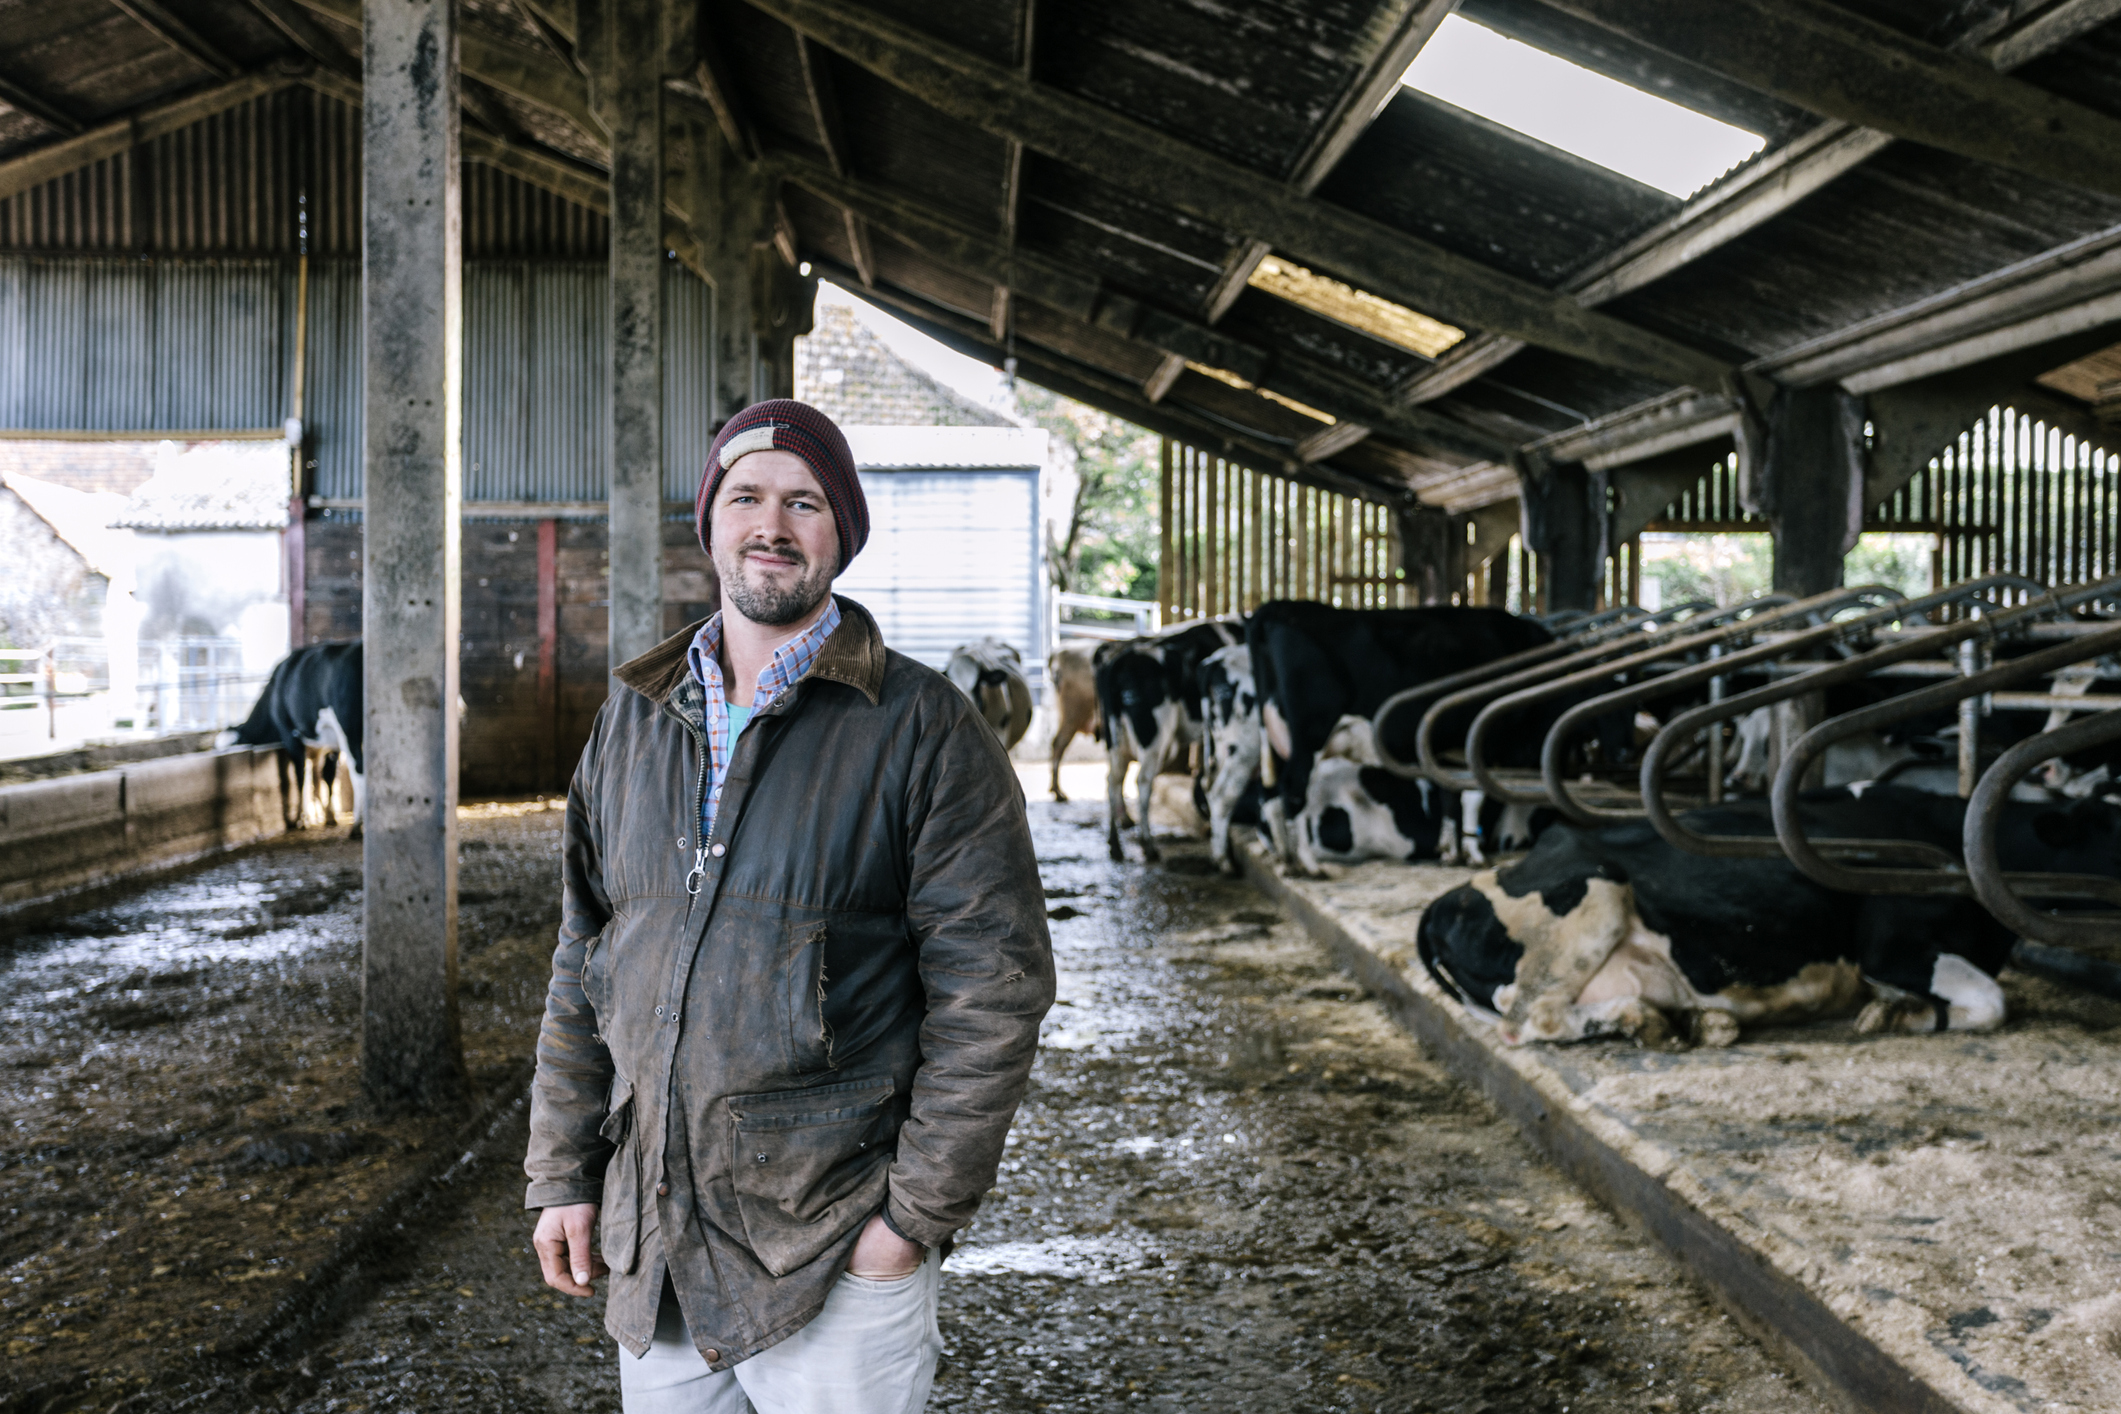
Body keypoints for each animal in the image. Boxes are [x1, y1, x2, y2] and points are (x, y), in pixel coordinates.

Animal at [221, 640, 362, 831]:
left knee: (359, 771)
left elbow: (301, 775)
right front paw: (327, 815)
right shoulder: (325, 744)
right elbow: (324, 776)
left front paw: (303, 818)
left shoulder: (289, 735)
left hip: (350, 732)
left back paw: (358, 824)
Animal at [1094, 619, 1238, 864]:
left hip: (1116, 740)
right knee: (1142, 781)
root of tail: (1120, 660)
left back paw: (1116, 845)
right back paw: (1148, 845)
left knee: (1113, 779)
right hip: (1153, 737)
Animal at [1408, 784, 2121, 1051]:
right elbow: (1995, 1002)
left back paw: (1697, 1019)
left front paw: (1893, 1009)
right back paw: (1652, 1023)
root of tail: (1446, 899)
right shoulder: (1892, 945)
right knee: (1535, 1017)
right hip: (1593, 893)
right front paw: (1898, 1014)